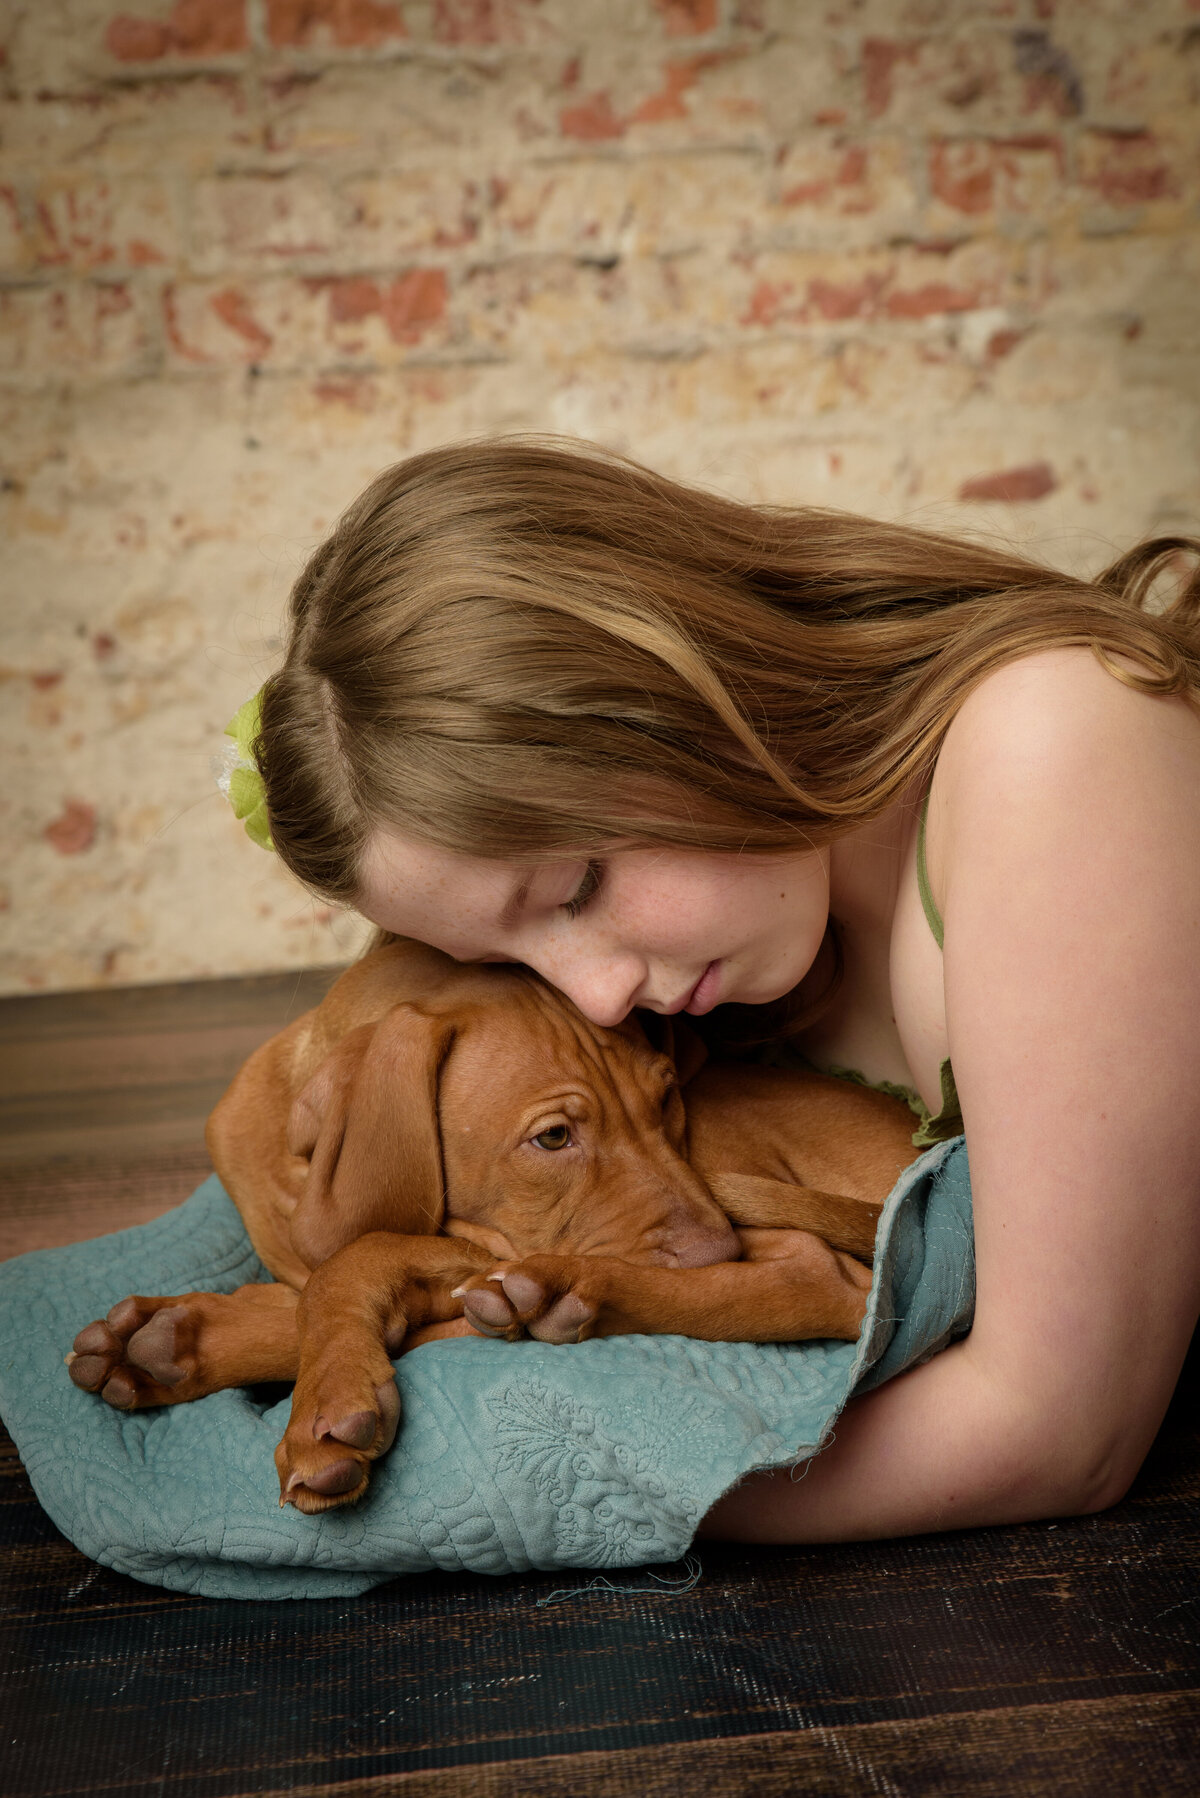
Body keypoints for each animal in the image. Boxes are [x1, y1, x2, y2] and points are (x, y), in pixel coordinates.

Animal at [67, 942, 921, 1517]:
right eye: (553, 1138)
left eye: (667, 1096)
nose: (719, 1251)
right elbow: (321, 1283)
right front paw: (188, 1340)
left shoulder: (465, 1245)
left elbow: (356, 1259)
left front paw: (322, 1395)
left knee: (818, 1274)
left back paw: (560, 1293)